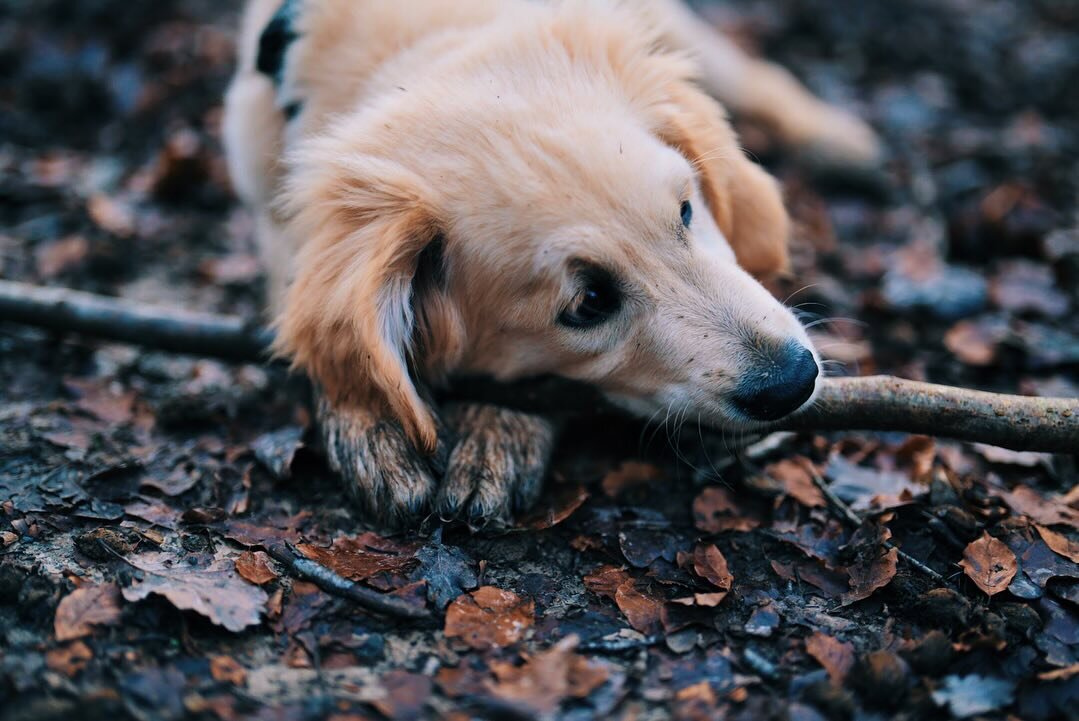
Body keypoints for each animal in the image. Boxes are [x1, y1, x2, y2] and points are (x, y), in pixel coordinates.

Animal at [223, 0, 880, 526]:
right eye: (589, 304)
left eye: (687, 211)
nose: (795, 381)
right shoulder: (275, 216)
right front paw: (369, 423)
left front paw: (496, 429)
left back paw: (835, 138)